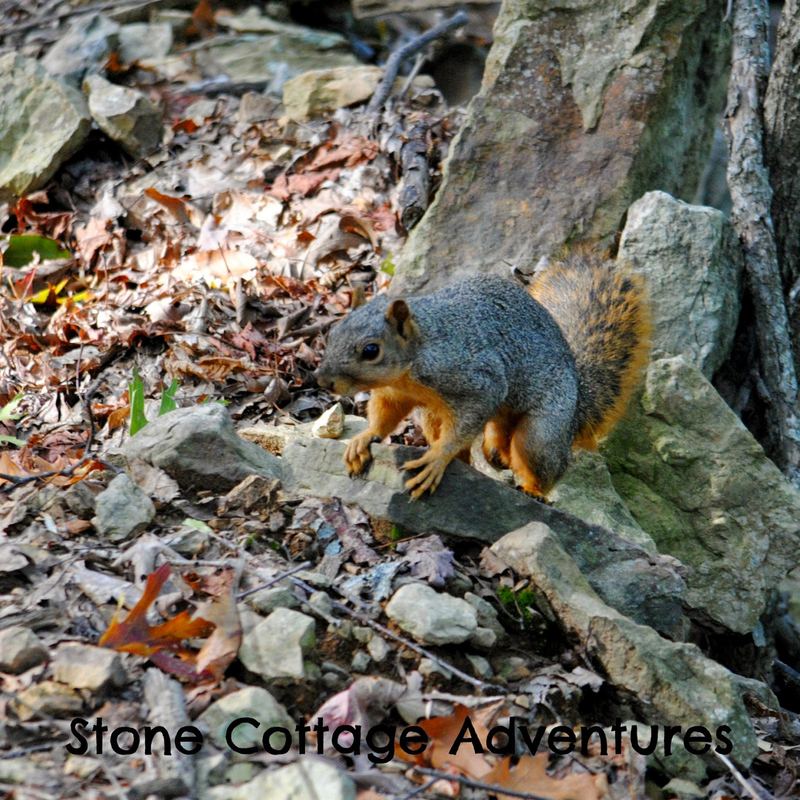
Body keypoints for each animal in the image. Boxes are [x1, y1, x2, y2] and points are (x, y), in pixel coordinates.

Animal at [314, 250, 650, 500]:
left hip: (544, 429)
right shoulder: (394, 393)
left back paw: (534, 490)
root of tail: (579, 400)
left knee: (544, 460)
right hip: (444, 418)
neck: (414, 361)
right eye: (333, 333)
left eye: (371, 350)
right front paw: (364, 437)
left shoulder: (475, 377)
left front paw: (436, 459)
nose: (322, 380)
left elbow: (468, 418)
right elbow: (384, 415)